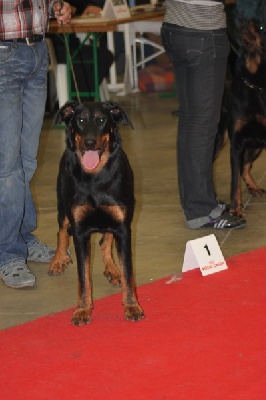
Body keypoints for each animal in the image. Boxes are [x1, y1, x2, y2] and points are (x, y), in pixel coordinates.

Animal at [47, 100, 143, 324]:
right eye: (80, 120)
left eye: (101, 120)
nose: (90, 142)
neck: (95, 176)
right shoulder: (80, 231)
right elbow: (83, 277)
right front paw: (83, 309)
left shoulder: (123, 228)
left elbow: (128, 273)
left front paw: (132, 306)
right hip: (63, 205)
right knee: (61, 230)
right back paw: (58, 260)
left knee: (104, 241)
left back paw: (113, 270)